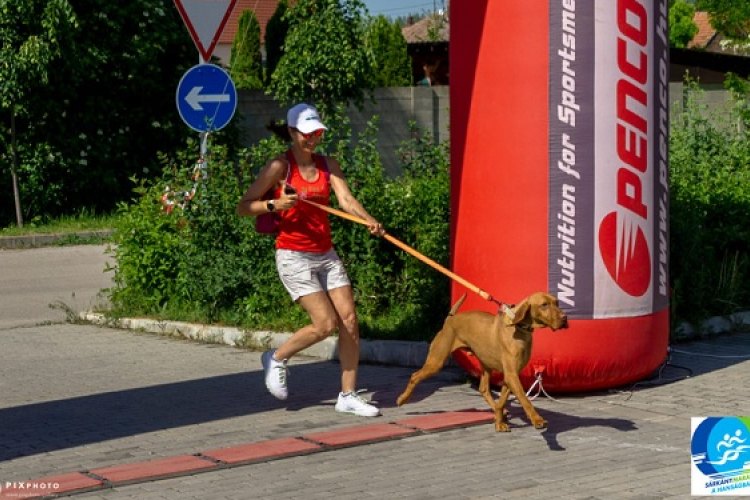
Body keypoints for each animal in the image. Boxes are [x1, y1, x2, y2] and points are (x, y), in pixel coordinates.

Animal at [396, 292, 568, 432]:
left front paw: (499, 421)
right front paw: (536, 419)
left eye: (557, 303)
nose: (565, 318)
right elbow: (525, 400)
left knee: (483, 389)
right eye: (544, 305)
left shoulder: (511, 375)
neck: (519, 328)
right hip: (436, 362)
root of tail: (450, 320)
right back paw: (403, 399)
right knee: (415, 376)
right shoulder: (512, 376)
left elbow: (501, 401)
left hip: (486, 364)